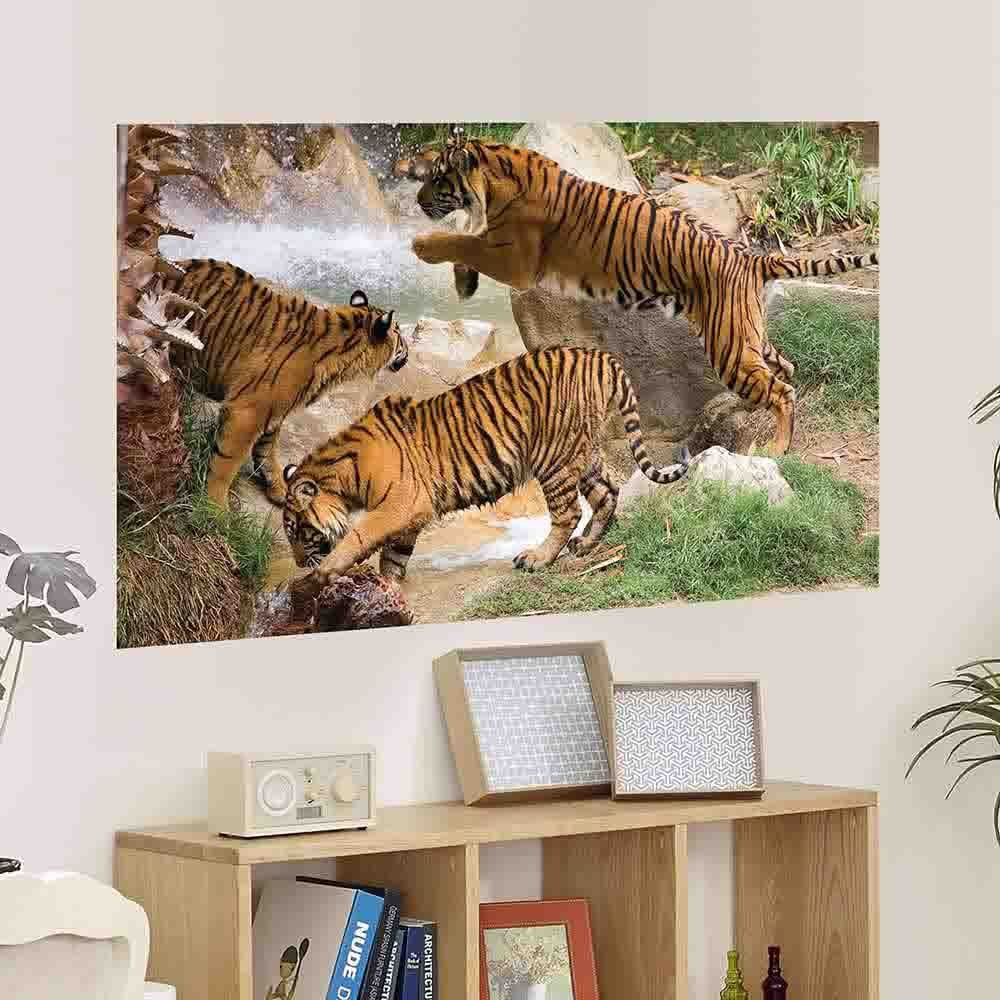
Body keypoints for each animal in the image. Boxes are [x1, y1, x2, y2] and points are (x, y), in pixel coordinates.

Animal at [161, 258, 408, 508]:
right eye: (399, 334)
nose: (407, 354)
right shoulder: (247, 411)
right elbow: (226, 463)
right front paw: (215, 507)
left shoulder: (273, 411)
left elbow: (267, 451)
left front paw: (280, 489)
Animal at [282, 347, 690, 588]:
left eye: (299, 530)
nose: (298, 563)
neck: (343, 475)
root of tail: (598, 355)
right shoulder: (412, 513)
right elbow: (394, 555)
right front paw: (389, 588)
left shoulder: (400, 503)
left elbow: (361, 534)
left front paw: (326, 570)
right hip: (582, 451)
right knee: (607, 493)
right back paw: (586, 545)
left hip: (554, 456)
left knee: (568, 512)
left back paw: (537, 558)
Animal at [411, 134, 879, 456]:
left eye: (437, 177)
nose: (416, 201)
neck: (496, 176)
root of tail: (752, 259)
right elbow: (469, 241)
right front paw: (462, 280)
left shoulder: (515, 260)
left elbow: (463, 240)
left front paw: (422, 245)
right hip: (748, 335)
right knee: (785, 369)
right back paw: (743, 412)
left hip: (728, 343)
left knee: (782, 389)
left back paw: (777, 447)